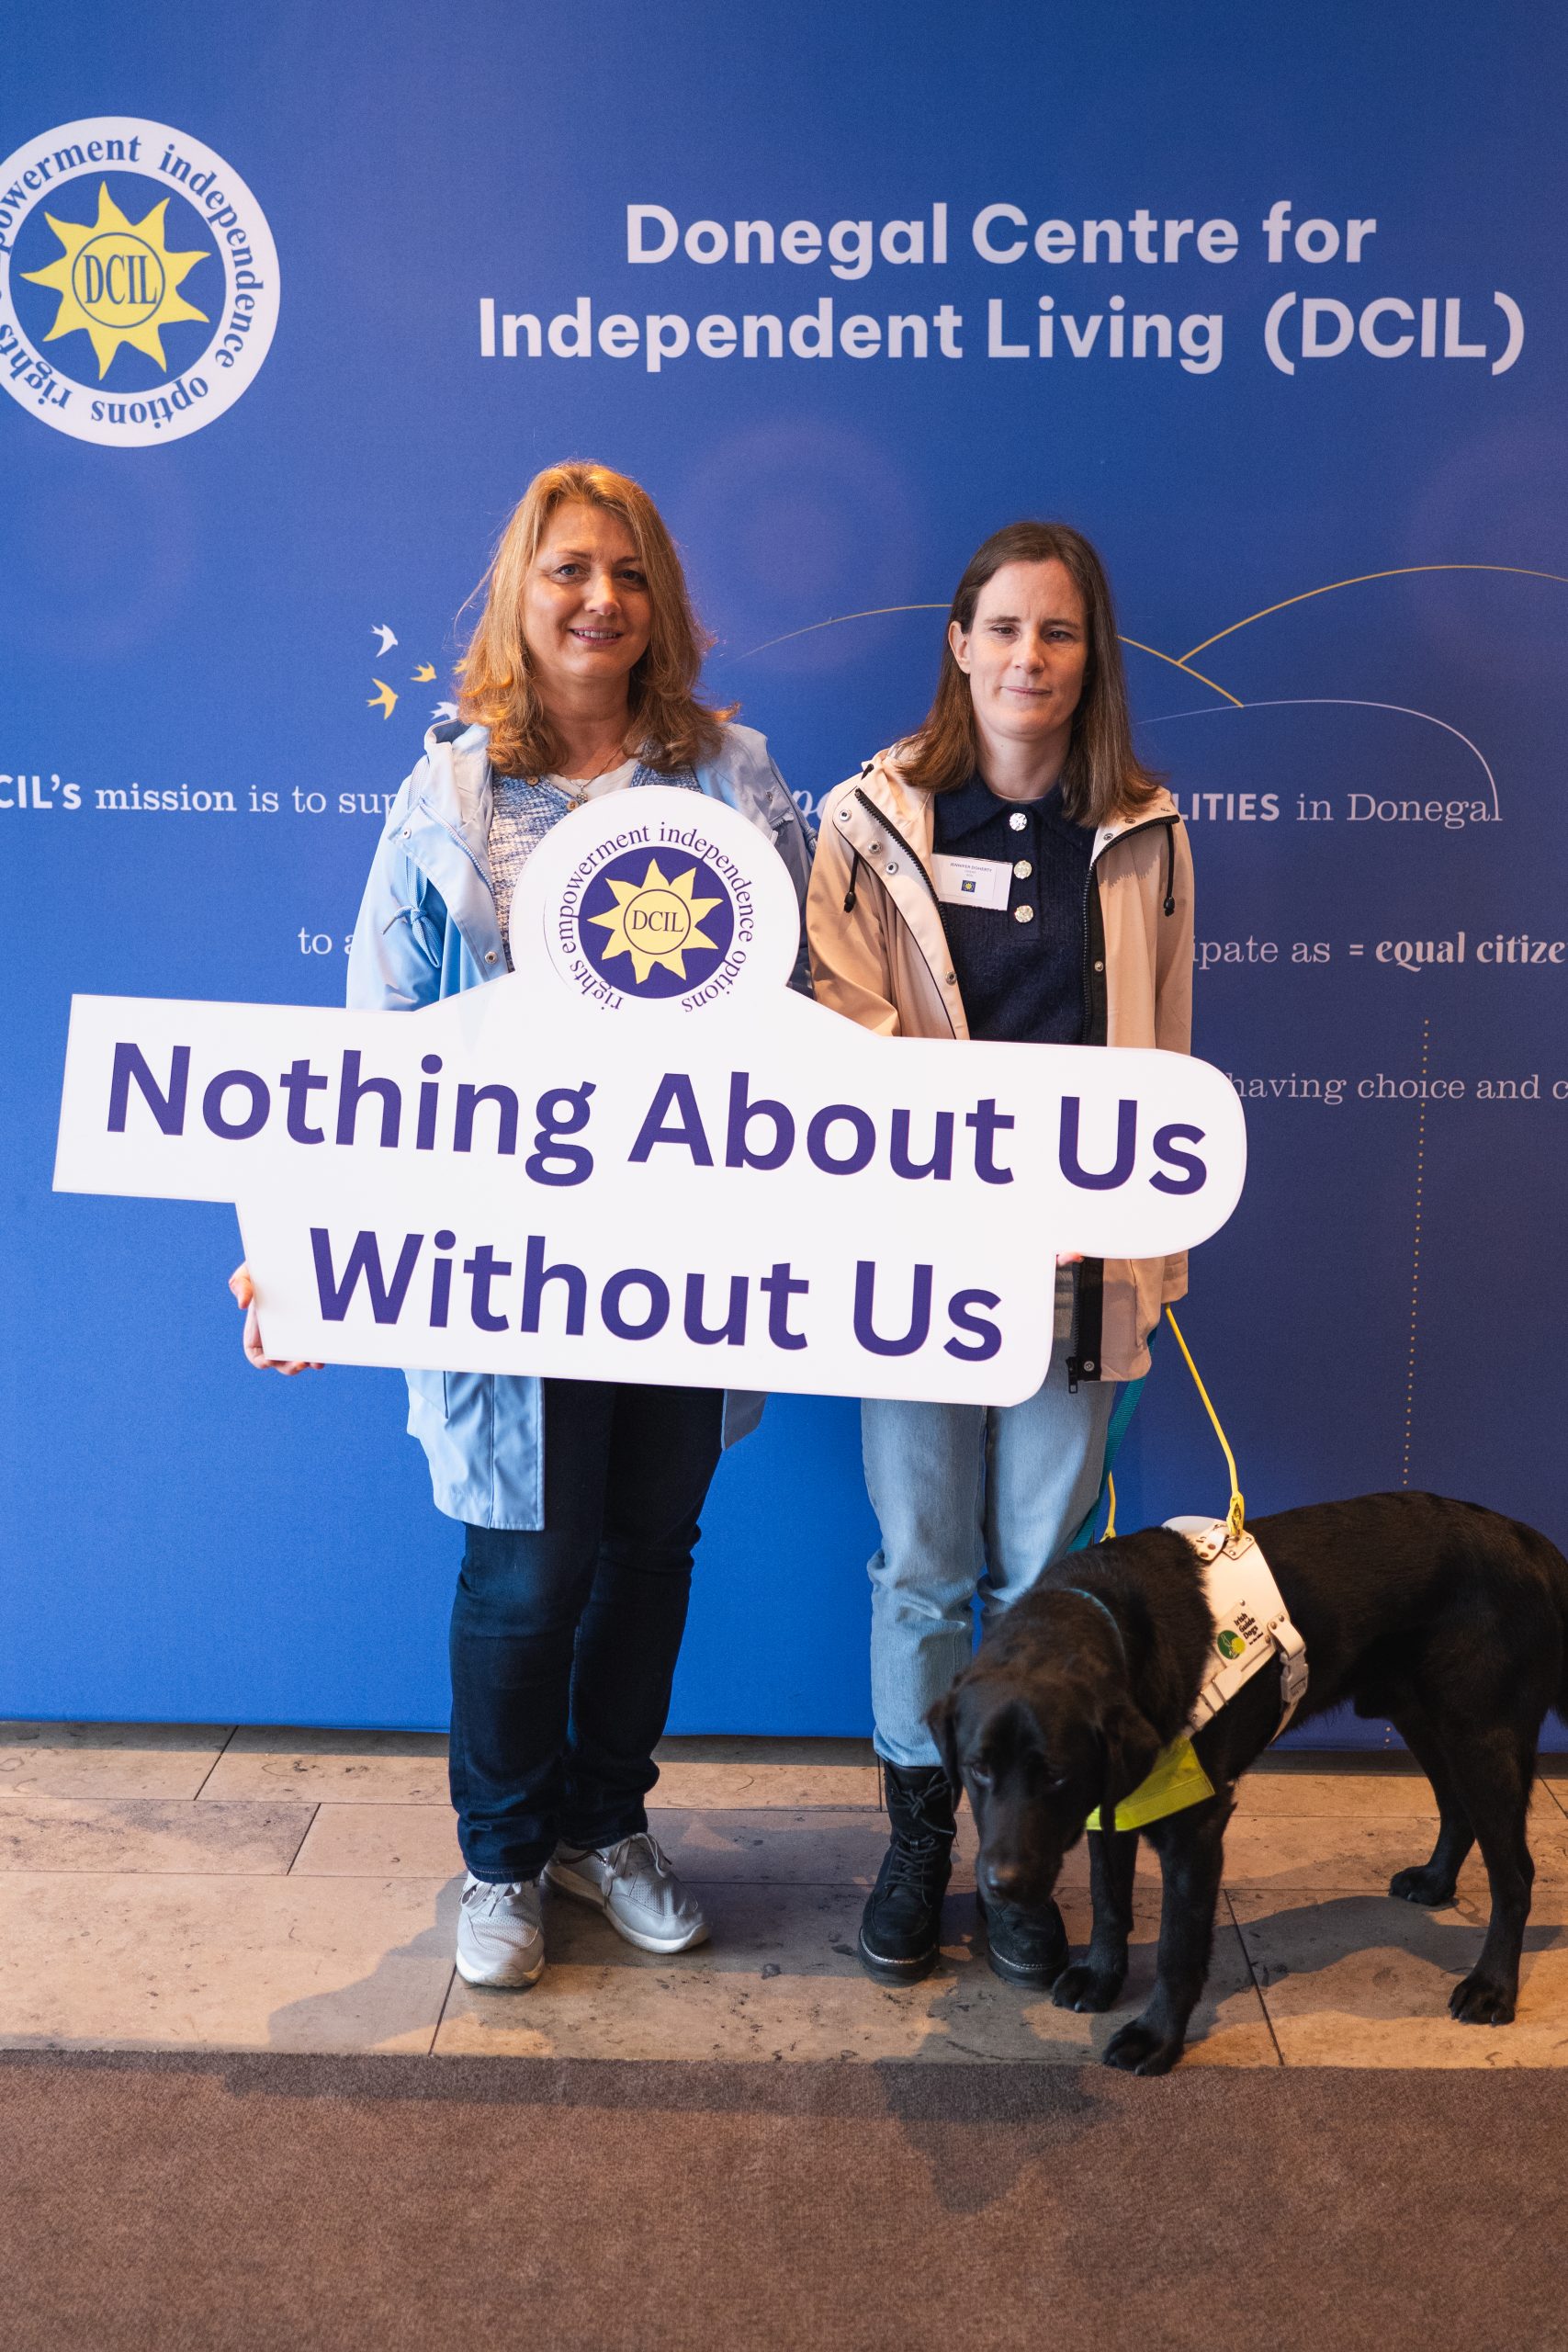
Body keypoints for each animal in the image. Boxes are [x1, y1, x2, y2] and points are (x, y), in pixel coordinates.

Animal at [929, 1491, 1568, 2075]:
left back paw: (1492, 1986)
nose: (1003, 1887)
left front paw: (1156, 2038)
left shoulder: (1195, 1828)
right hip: (1422, 1715)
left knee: (1515, 1874)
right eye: (978, 1768)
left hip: (1482, 1733)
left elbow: (1177, 1948)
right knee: (1456, 1808)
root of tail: (1535, 1543)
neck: (1114, 1622)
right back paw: (1435, 1882)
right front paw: (1102, 1977)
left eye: (1058, 1775)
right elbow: (1108, 1900)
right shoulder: (1113, 1805)